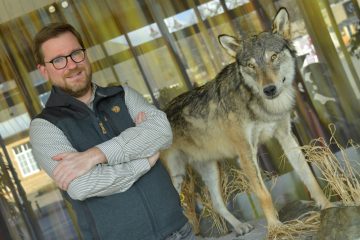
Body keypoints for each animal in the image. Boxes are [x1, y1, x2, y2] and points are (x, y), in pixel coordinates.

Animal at [162, 7, 334, 236]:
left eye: (273, 57)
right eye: (251, 65)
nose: (269, 89)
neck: (264, 107)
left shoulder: (287, 137)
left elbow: (309, 177)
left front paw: (327, 206)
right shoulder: (246, 153)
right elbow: (263, 195)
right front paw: (276, 228)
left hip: (211, 170)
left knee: (217, 204)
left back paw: (240, 226)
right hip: (176, 178)